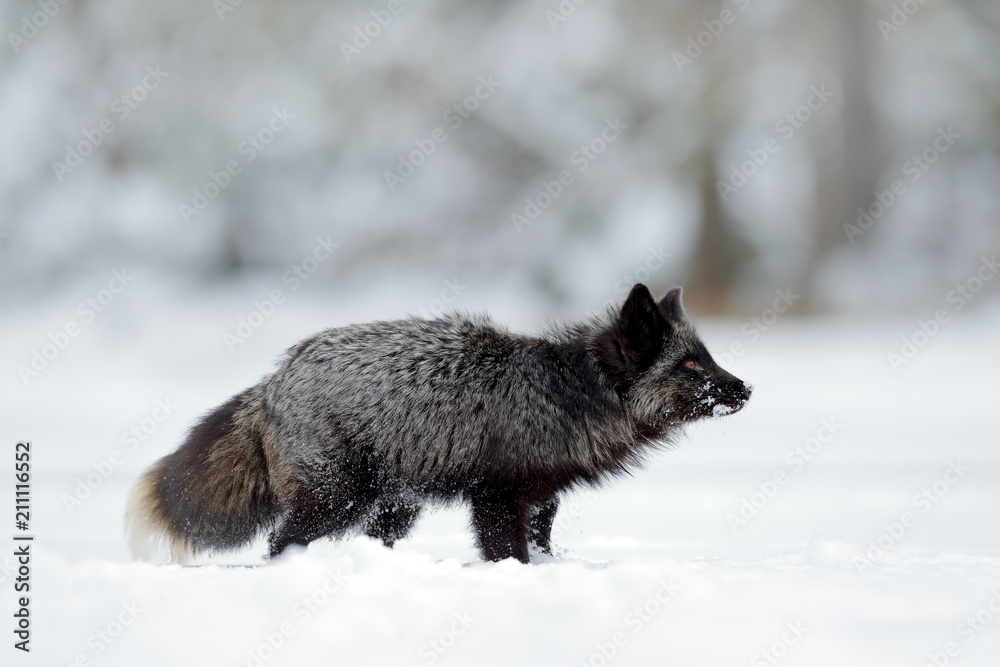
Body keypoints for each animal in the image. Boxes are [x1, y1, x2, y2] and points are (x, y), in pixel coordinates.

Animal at [126, 284, 751, 564]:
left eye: (706, 355)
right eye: (690, 364)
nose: (745, 389)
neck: (565, 394)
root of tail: (274, 378)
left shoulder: (541, 498)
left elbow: (540, 545)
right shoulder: (496, 496)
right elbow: (508, 552)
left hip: (393, 506)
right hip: (336, 500)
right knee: (281, 542)